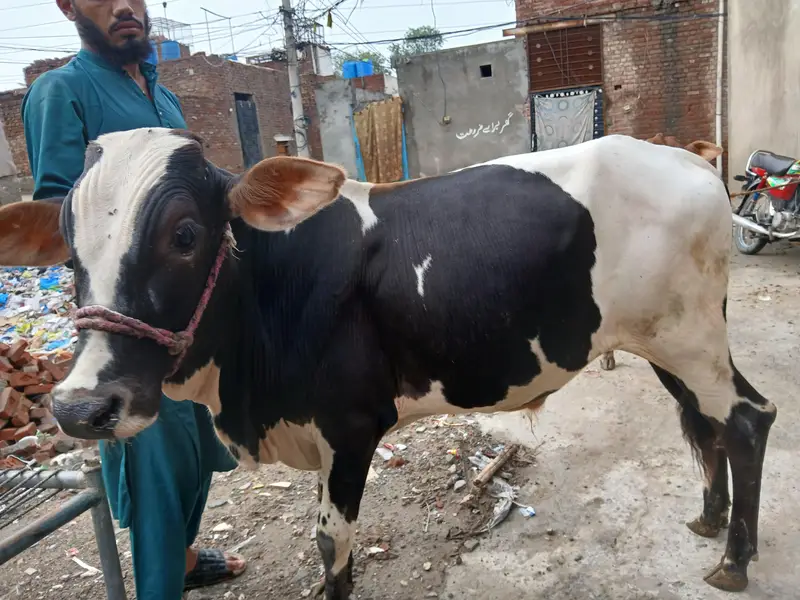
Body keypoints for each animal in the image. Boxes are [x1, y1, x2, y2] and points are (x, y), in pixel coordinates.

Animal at [0, 129, 776, 599]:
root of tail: (690, 159)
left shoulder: (350, 429)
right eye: (68, 250)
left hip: (690, 338)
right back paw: (709, 520)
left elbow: (332, 543)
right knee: (706, 422)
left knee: (747, 420)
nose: (81, 407)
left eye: (186, 234)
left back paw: (734, 559)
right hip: (671, 343)